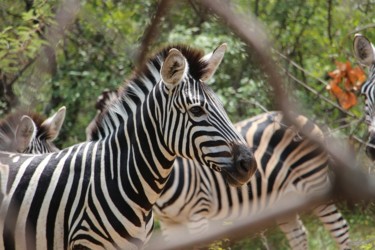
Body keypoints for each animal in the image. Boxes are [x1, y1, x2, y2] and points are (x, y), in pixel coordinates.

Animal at [86, 89, 352, 249]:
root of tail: (306, 120)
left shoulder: (198, 215)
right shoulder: (170, 224)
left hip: (313, 183)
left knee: (340, 229)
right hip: (285, 198)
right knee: (299, 235)